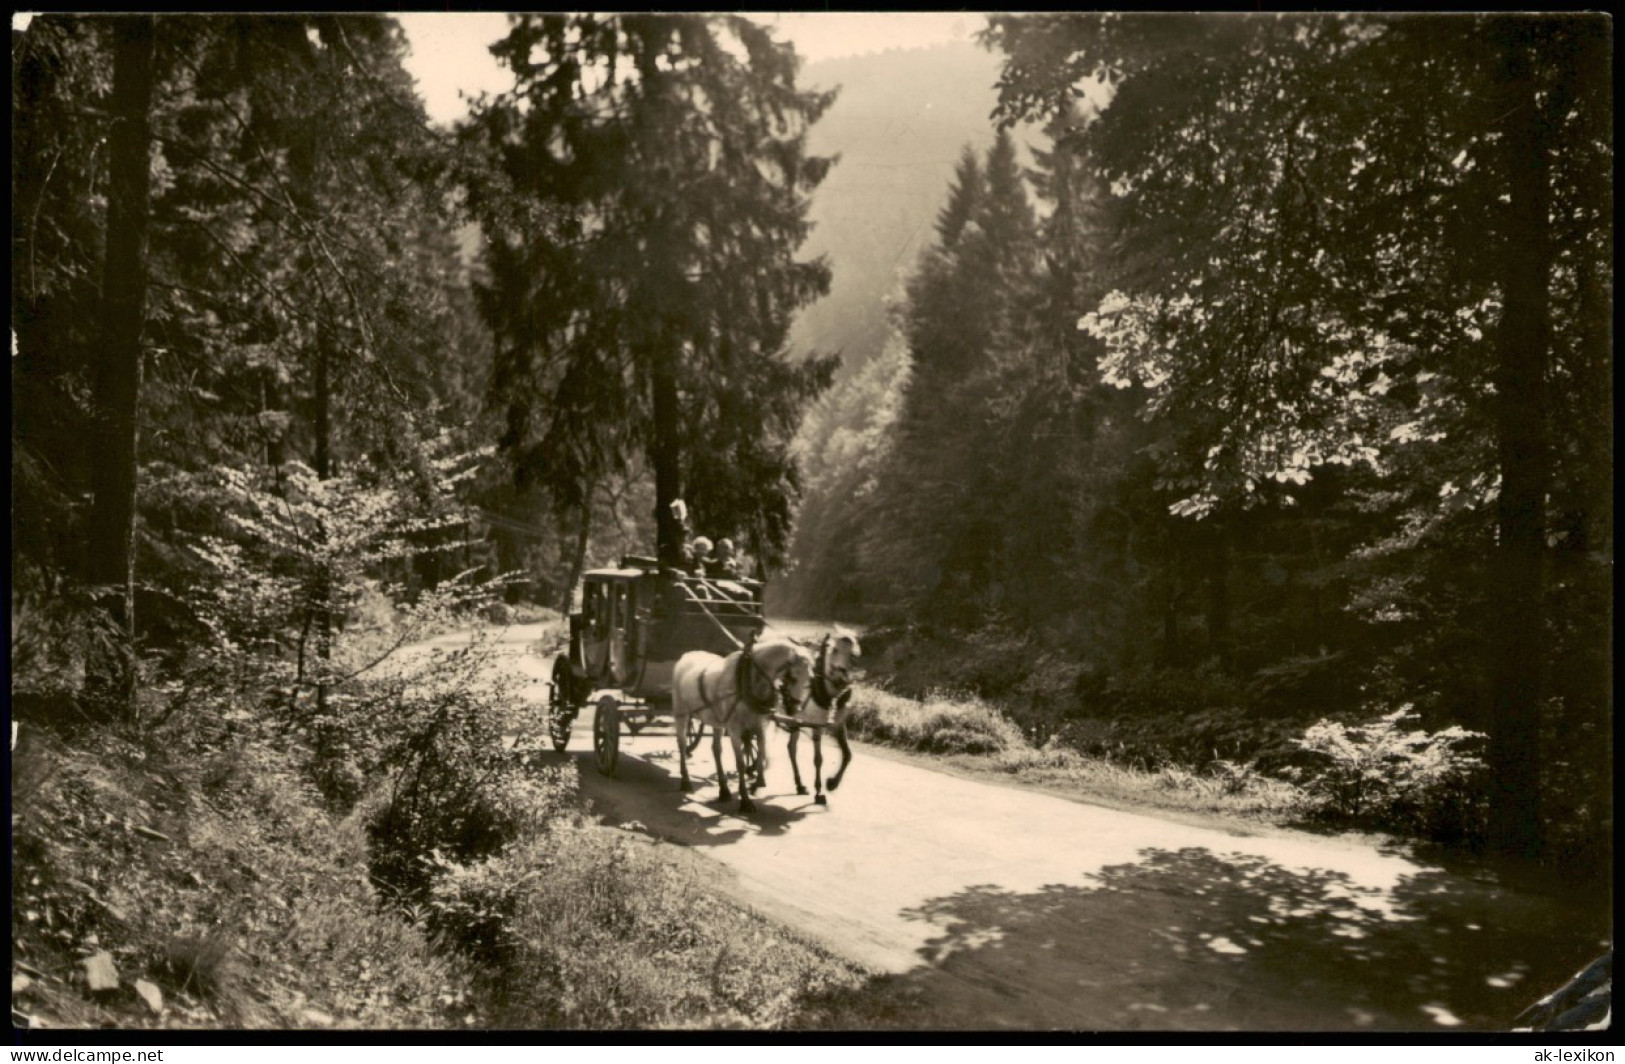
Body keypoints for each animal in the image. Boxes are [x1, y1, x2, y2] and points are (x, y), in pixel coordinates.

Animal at [669, 633, 809, 815]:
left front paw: (757, 784)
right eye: (793, 678)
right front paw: (745, 800)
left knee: (716, 750)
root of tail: (685, 656)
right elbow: (741, 763)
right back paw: (685, 780)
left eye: (808, 680)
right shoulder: (735, 729)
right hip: (681, 714)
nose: (794, 709)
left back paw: (723, 790)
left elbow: (761, 754)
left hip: (716, 722)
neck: (747, 680)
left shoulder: (759, 726)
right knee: (682, 744)